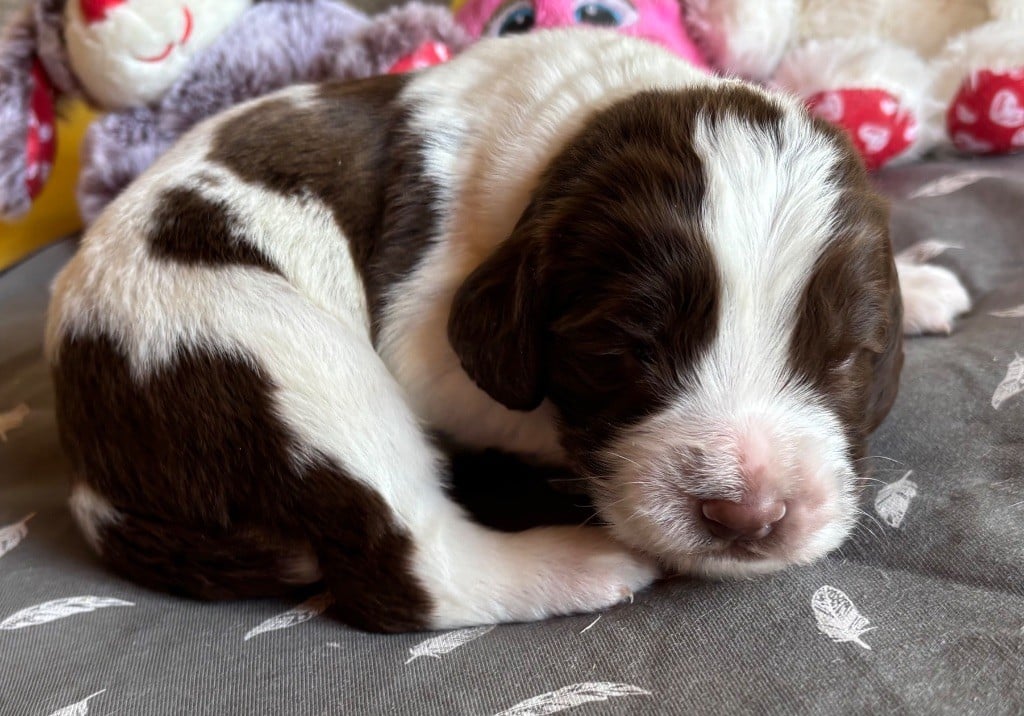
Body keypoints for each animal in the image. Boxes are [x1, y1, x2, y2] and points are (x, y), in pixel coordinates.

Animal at [44, 29, 970, 630]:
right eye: (626, 353)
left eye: (846, 358)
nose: (746, 516)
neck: (582, 119)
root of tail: (92, 473)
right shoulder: (422, 347)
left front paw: (922, 283)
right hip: (278, 349)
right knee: (412, 570)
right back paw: (574, 564)